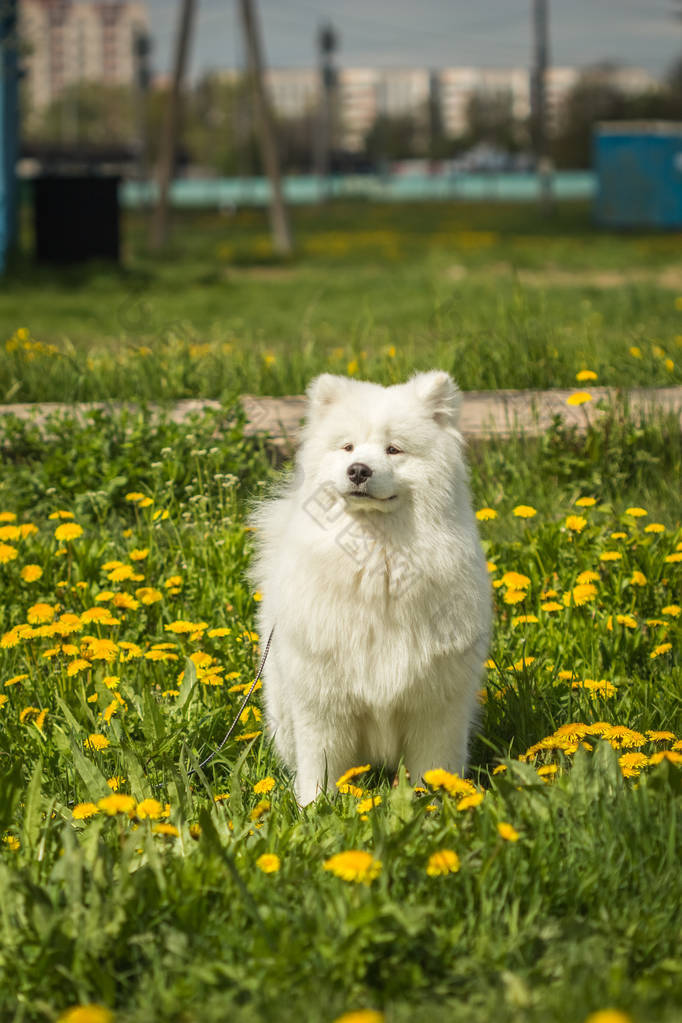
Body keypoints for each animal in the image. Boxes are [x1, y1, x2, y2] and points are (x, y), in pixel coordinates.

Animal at [249, 372, 490, 802]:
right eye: (347, 447)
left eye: (394, 449)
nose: (358, 470)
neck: (378, 560)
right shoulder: (323, 700)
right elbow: (320, 766)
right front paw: (314, 807)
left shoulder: (436, 703)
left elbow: (434, 764)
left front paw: (434, 802)